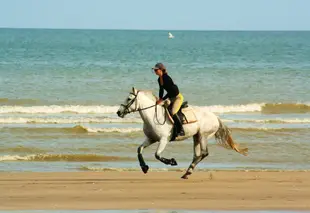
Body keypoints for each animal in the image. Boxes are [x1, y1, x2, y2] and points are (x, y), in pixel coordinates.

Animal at [115, 87, 247, 179]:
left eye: (129, 99)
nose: (118, 112)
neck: (153, 116)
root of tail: (215, 117)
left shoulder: (164, 140)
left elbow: (157, 155)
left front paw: (172, 161)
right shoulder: (151, 139)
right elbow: (139, 149)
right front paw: (144, 167)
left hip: (203, 136)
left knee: (204, 153)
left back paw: (187, 172)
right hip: (196, 137)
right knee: (197, 155)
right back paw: (187, 173)